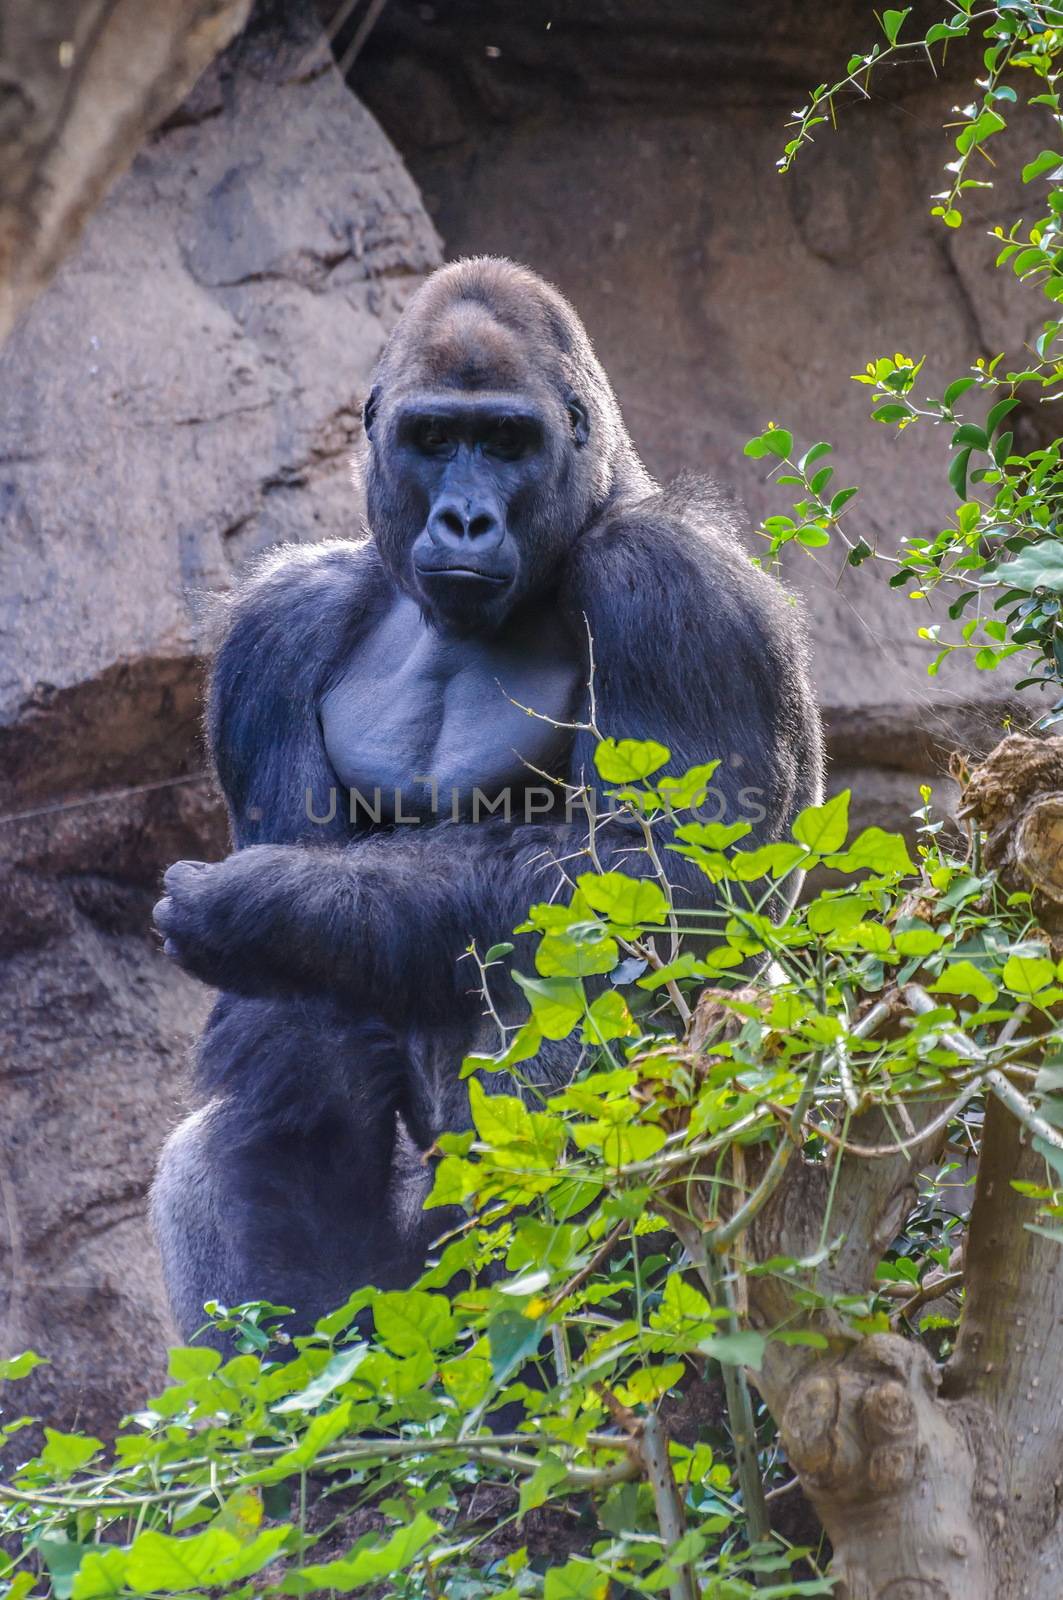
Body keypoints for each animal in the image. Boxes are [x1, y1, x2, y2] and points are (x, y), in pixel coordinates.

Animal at [149, 256, 819, 1344]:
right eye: (433, 439)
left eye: (506, 441)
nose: (464, 517)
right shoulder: (278, 625)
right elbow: (292, 1029)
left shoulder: (674, 592)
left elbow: (671, 874)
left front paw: (266, 906)